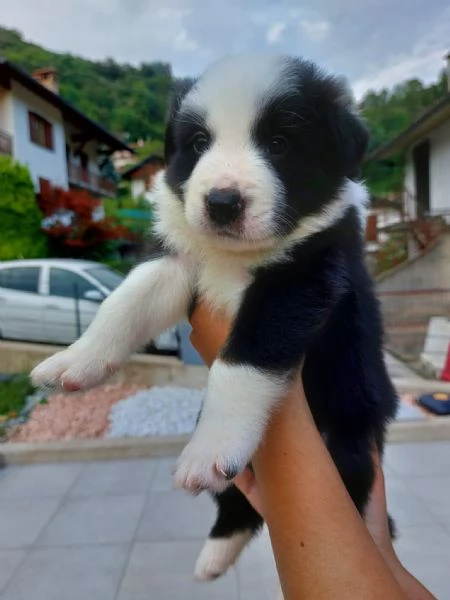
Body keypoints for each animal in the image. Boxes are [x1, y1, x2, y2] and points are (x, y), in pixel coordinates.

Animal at [31, 55, 398, 580]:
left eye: (280, 143)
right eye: (199, 143)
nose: (222, 202)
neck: (234, 256)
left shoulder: (301, 279)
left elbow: (240, 362)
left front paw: (209, 449)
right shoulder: (179, 260)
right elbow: (125, 301)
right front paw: (76, 361)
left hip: (345, 443)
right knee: (237, 503)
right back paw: (214, 555)